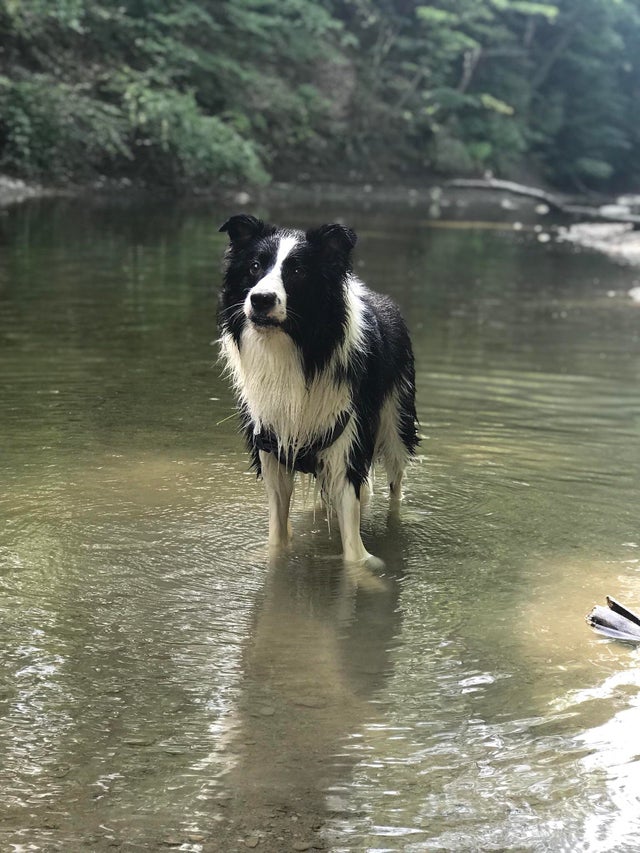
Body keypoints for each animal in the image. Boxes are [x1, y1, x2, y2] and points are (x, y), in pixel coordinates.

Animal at [220, 213, 420, 564]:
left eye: (298, 271)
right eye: (255, 266)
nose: (261, 299)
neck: (295, 350)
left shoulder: (347, 446)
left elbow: (353, 547)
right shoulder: (272, 450)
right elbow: (278, 533)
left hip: (396, 420)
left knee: (396, 482)